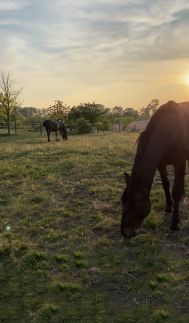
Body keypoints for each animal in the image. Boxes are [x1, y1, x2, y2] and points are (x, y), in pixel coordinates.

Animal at [121, 100, 189, 239]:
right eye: (122, 200)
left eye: (136, 203)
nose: (125, 232)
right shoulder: (161, 163)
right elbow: (165, 184)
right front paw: (169, 206)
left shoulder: (180, 161)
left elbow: (176, 191)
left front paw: (175, 223)